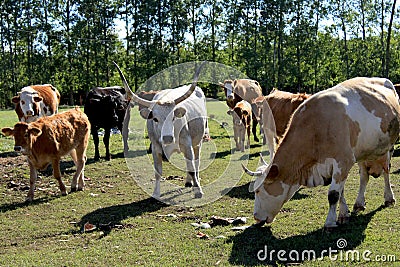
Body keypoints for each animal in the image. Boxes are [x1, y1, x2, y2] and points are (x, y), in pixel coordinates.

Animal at [112, 60, 206, 199]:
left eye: (173, 117)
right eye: (155, 119)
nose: (167, 138)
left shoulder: (187, 145)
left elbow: (192, 168)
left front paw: (198, 190)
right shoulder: (155, 148)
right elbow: (158, 172)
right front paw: (156, 193)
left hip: (197, 142)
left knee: (196, 161)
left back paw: (195, 182)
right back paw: (189, 182)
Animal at [242, 78, 398, 230]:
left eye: (258, 191)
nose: (256, 217)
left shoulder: (344, 161)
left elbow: (334, 194)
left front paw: (330, 222)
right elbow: (341, 192)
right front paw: (343, 214)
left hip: (388, 147)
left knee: (386, 172)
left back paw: (389, 198)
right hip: (363, 153)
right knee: (364, 176)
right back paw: (359, 203)